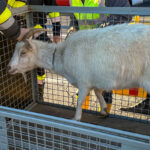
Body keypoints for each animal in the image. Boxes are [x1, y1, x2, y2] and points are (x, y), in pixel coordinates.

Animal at [8, 24, 150, 121]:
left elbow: (80, 101)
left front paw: (76, 118)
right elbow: (98, 93)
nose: (9, 68)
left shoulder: (83, 82)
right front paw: (104, 110)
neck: (62, 55)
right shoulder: (94, 81)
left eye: (23, 53)